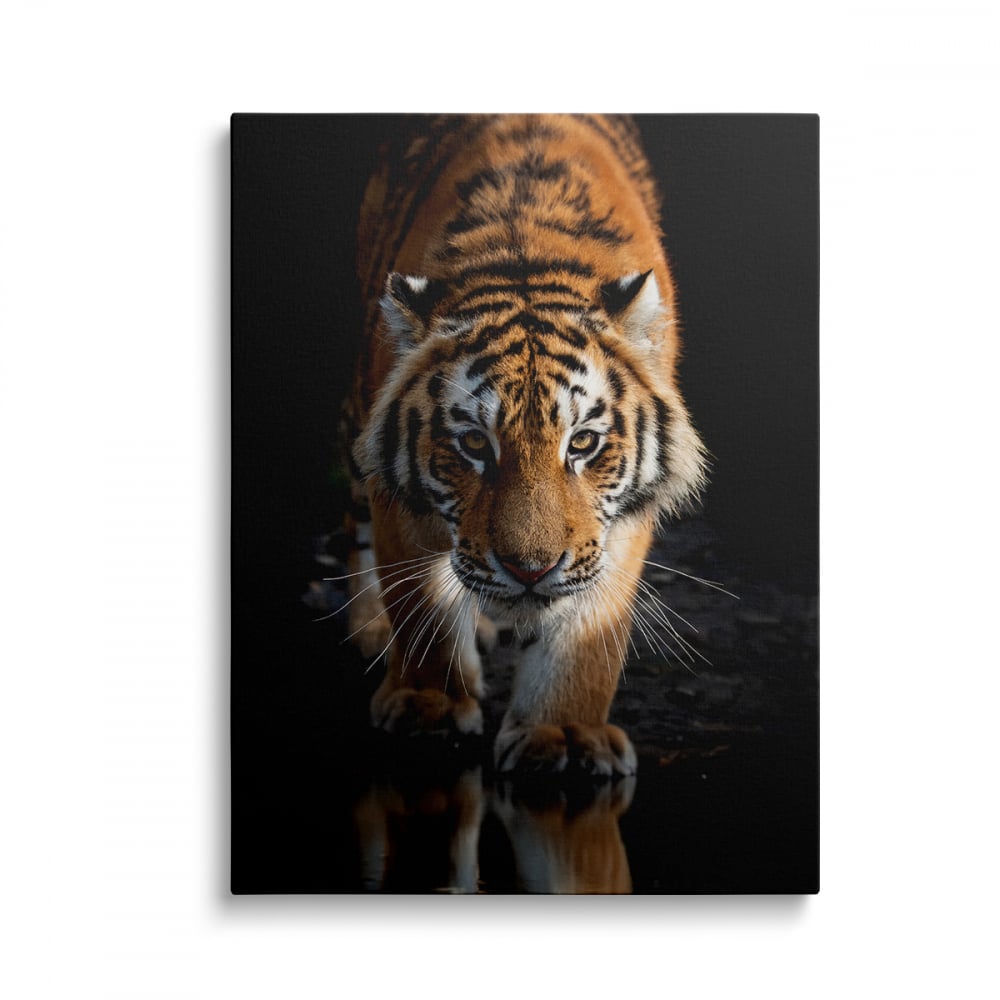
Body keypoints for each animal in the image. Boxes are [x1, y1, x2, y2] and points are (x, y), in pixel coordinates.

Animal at [342, 114, 707, 778]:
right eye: (472, 443)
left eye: (582, 443)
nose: (530, 571)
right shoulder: (399, 501)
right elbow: (419, 602)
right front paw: (429, 705)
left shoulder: (616, 521)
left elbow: (588, 634)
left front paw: (564, 734)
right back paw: (372, 627)